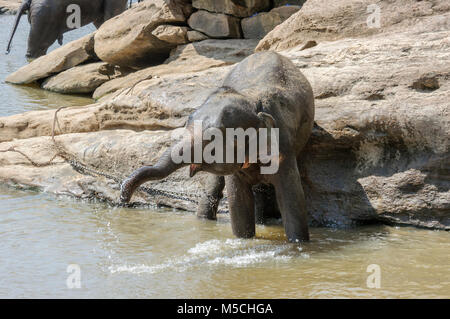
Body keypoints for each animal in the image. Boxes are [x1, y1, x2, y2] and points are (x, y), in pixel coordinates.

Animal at [121, 52, 314, 242]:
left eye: (216, 137)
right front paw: (243, 240)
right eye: (188, 120)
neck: (251, 99)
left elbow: (292, 197)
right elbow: (238, 199)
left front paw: (298, 244)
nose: (124, 197)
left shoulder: (283, 146)